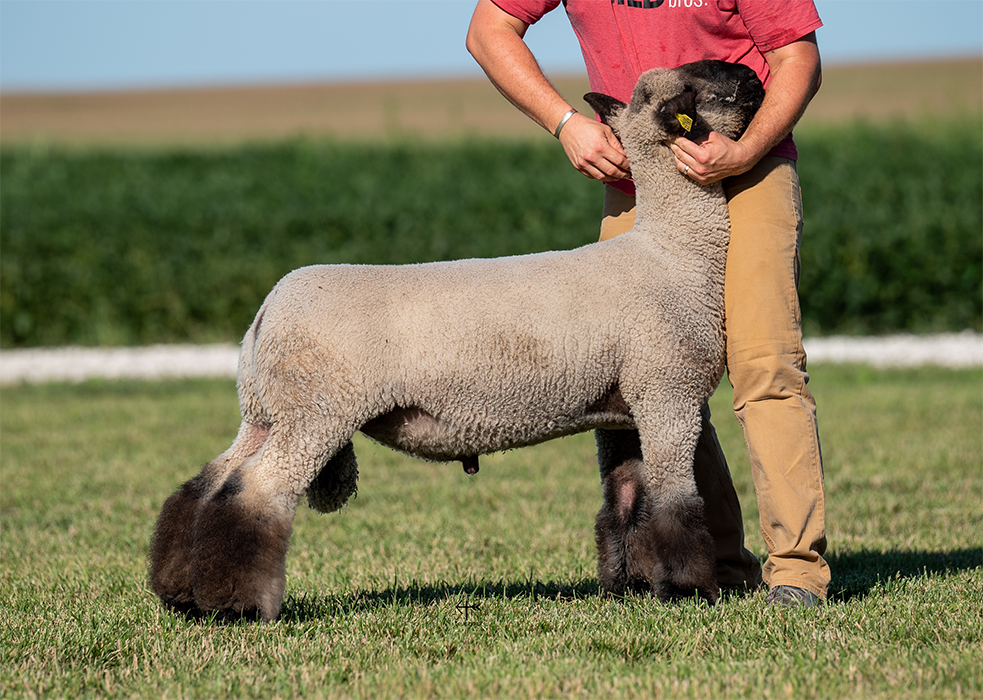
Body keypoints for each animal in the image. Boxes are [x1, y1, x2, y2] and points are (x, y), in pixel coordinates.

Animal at [148, 58, 768, 616]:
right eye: (698, 81)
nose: (755, 76)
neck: (675, 252)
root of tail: (266, 312)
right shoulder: (668, 393)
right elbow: (674, 503)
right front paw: (688, 591)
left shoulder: (624, 410)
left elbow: (626, 501)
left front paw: (631, 587)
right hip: (314, 412)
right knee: (255, 494)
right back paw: (239, 605)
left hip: (266, 410)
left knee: (208, 486)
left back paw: (181, 594)